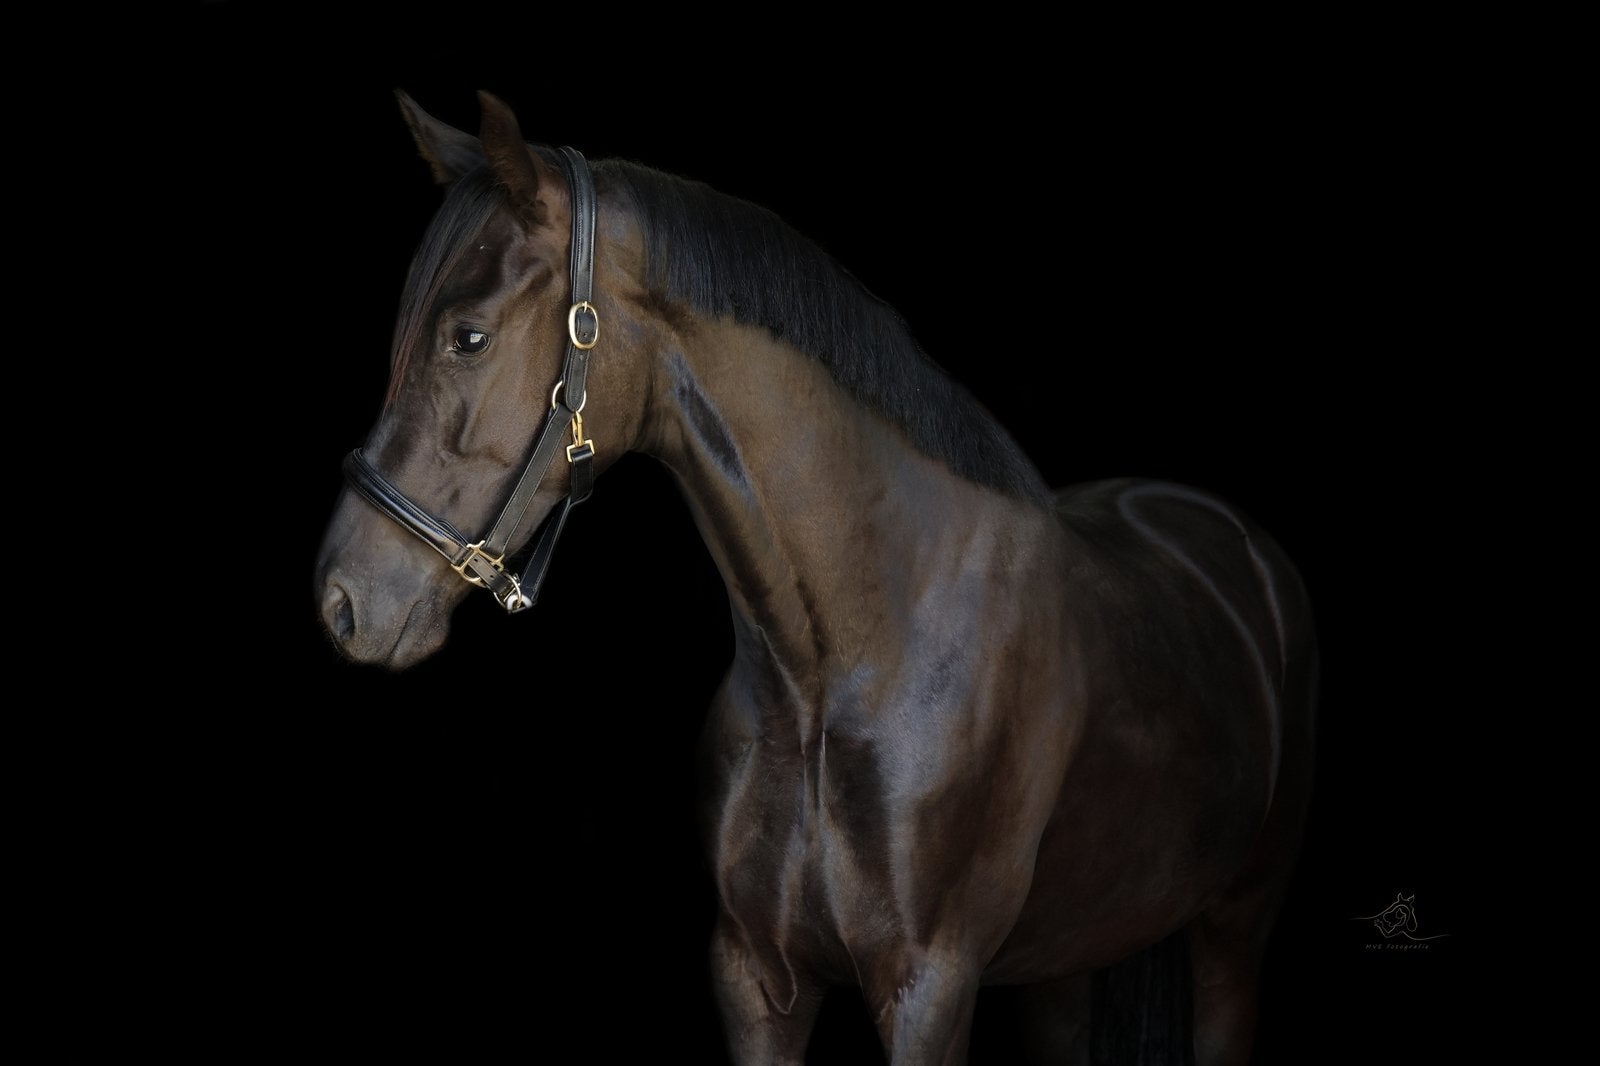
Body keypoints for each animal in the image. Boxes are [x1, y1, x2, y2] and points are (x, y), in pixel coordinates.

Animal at [313, 90, 1318, 1066]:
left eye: (468, 337)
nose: (342, 599)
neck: (846, 658)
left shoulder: (928, 988)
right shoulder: (755, 981)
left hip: (1232, 935)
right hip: (1066, 964)